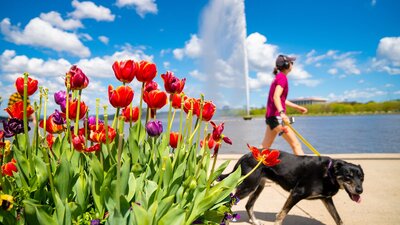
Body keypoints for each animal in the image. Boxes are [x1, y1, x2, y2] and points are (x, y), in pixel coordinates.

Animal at [220, 150, 364, 225]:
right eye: (348, 176)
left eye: (362, 178)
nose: (360, 190)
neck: (328, 173)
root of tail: (245, 156)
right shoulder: (296, 193)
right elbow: (281, 215)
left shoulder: (326, 199)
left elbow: (338, 219)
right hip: (248, 186)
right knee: (228, 202)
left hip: (258, 186)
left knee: (248, 205)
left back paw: (255, 222)